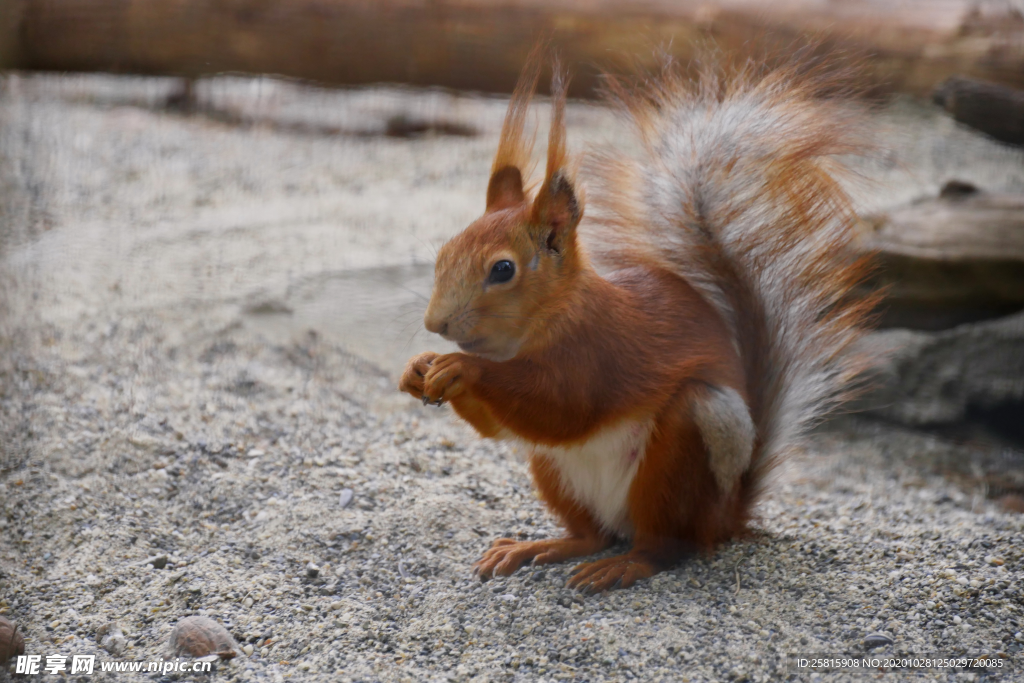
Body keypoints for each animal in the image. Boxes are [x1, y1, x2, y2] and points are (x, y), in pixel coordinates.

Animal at [395, 54, 876, 593]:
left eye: (502, 270)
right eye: (445, 252)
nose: (436, 324)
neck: (540, 326)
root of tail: (729, 516)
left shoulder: (602, 348)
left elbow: (562, 408)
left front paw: (461, 368)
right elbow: (501, 426)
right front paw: (417, 368)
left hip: (685, 449)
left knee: (664, 545)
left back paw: (625, 565)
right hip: (553, 471)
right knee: (593, 534)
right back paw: (541, 546)